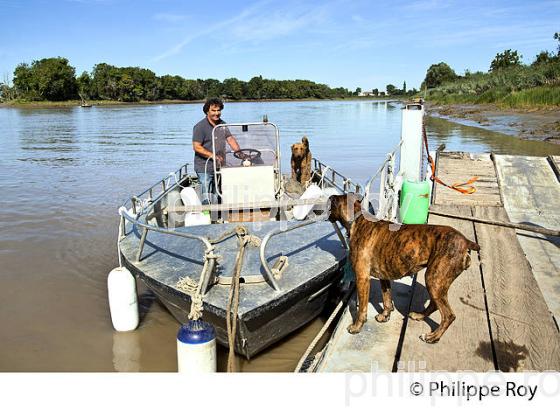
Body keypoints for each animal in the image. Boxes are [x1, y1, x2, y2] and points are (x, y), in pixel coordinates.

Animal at [328, 192, 482, 342]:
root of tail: (466, 241)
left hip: (434, 280)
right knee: (434, 304)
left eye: (331, 203)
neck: (357, 219)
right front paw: (385, 316)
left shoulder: (362, 278)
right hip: (436, 282)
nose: (326, 213)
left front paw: (357, 327)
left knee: (448, 315)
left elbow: (362, 309)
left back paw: (432, 337)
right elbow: (387, 299)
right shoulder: (384, 277)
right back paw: (420, 316)